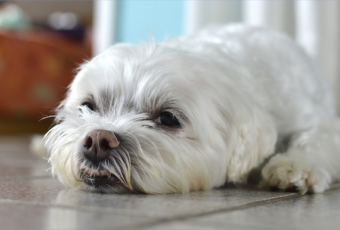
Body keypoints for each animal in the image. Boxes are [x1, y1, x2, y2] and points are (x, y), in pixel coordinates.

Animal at [43, 24, 340, 194]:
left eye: (168, 118)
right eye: (88, 106)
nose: (97, 139)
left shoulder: (310, 115)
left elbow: (316, 137)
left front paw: (296, 165)